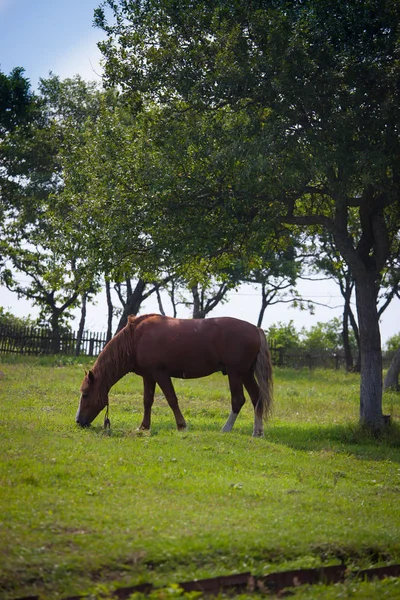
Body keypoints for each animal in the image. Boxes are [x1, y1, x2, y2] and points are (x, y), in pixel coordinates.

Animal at [76, 314, 272, 436]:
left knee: (238, 400)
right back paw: (258, 432)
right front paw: (143, 427)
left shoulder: (161, 374)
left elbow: (171, 399)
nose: (78, 421)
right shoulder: (148, 376)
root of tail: (256, 329)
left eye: (85, 394)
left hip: (235, 373)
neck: (135, 339)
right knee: (257, 399)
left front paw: (182, 425)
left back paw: (226, 429)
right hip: (246, 374)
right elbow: (147, 401)